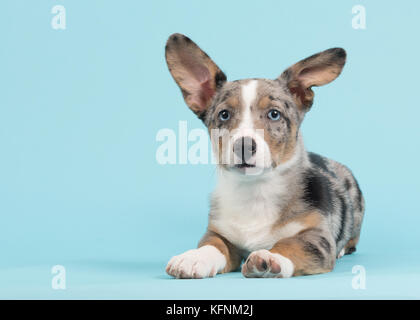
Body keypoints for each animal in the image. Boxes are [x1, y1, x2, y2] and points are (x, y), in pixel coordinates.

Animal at [164, 33, 364, 278]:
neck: (255, 191)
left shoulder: (317, 238)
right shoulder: (218, 232)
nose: (243, 146)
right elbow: (213, 244)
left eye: (274, 114)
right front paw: (194, 257)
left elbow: (290, 243)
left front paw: (270, 257)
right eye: (224, 114)